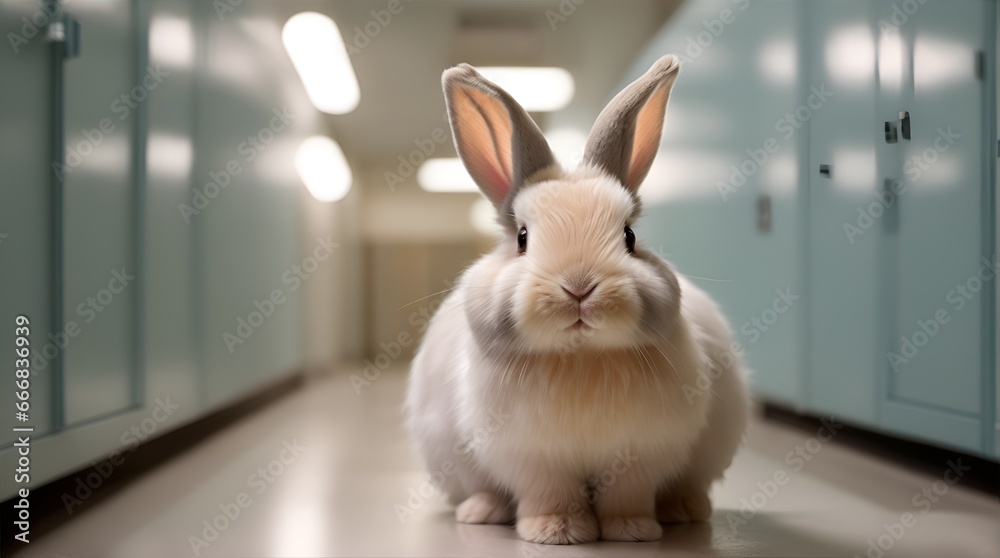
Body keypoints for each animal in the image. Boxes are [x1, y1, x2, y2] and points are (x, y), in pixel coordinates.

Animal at [406, 55, 752, 548]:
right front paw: (558, 532)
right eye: (523, 238)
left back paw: (684, 510)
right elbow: (550, 493)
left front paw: (633, 532)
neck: (581, 357)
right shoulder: (532, 457)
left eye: (629, 237)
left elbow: (628, 494)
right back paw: (481, 512)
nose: (579, 287)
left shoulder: (640, 453)